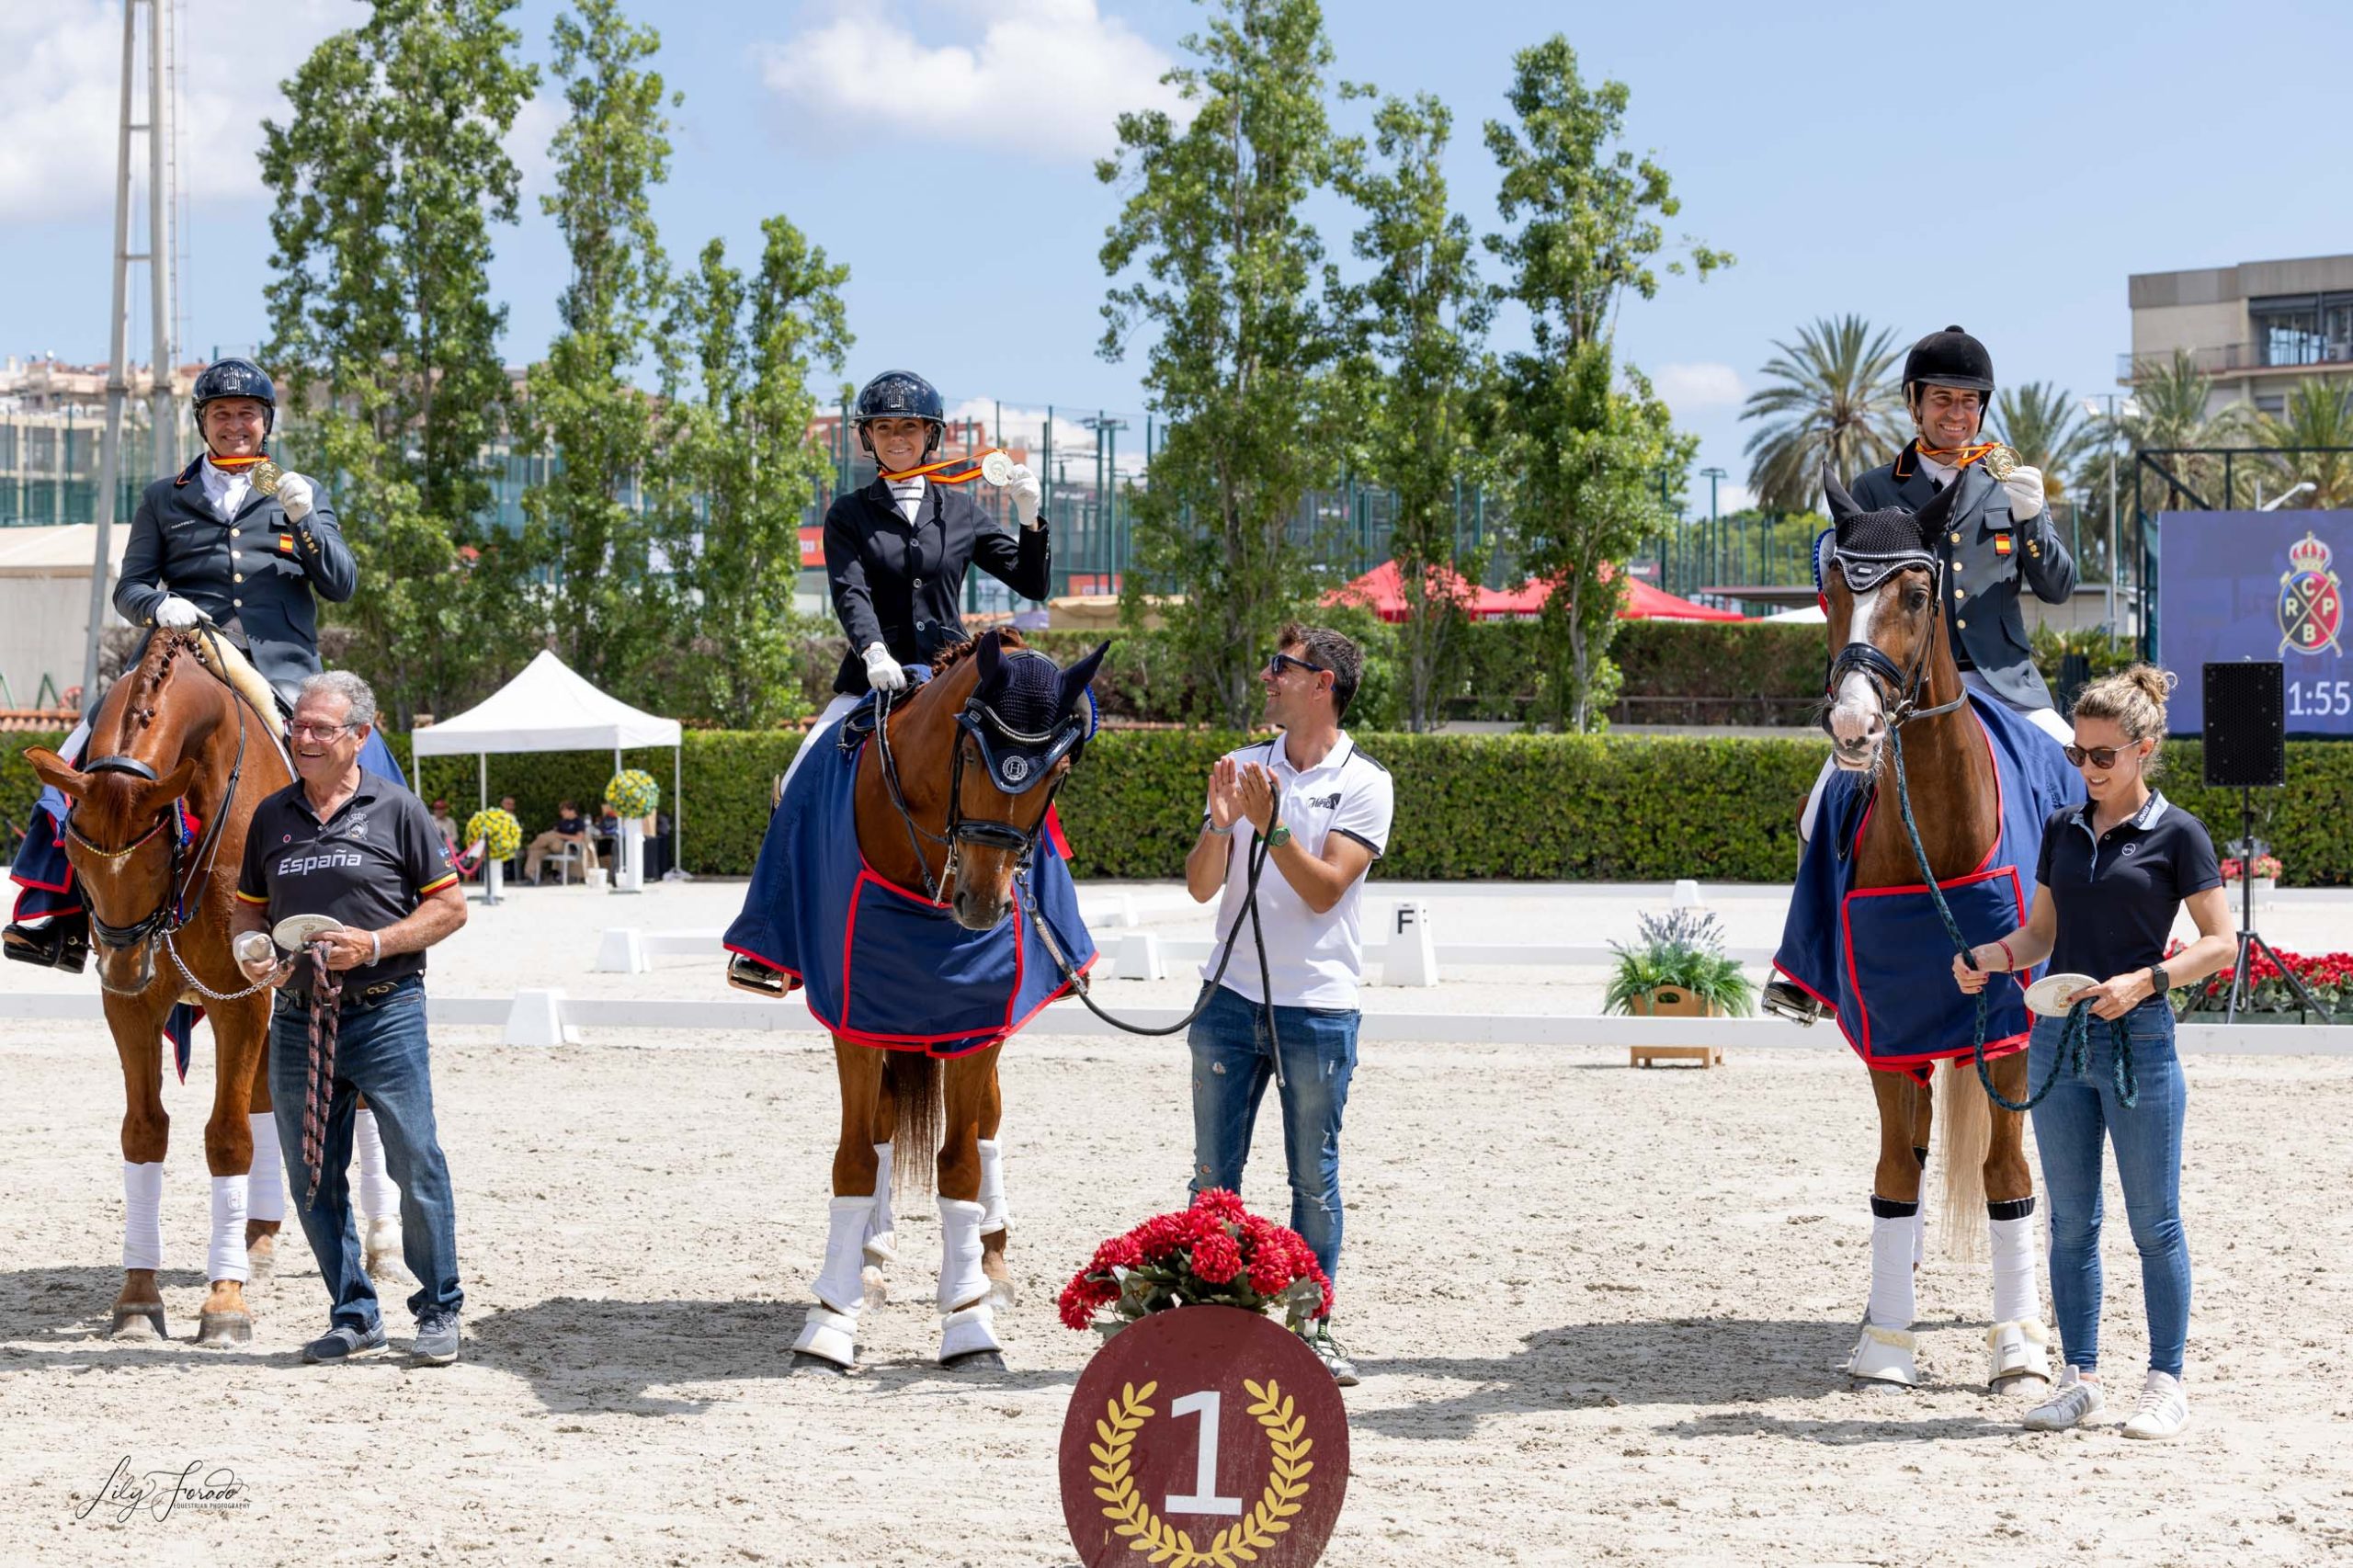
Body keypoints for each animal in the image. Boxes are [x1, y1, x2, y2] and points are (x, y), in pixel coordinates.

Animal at [26, 631, 291, 1336]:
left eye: (156, 858)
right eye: (72, 854)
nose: (124, 968)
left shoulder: (242, 996)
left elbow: (228, 1138)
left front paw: (224, 1303)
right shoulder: (136, 1009)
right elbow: (144, 1131)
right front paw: (139, 1298)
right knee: (264, 1100)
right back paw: (257, 1240)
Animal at [1769, 466, 2089, 1393]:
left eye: (1917, 594)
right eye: (1833, 591)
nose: (1853, 728)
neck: (1936, 835)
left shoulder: (2011, 1029)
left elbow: (2009, 1177)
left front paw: (2019, 1347)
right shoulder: (1890, 1029)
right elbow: (1892, 1174)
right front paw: (1884, 1342)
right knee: (1910, 1157)